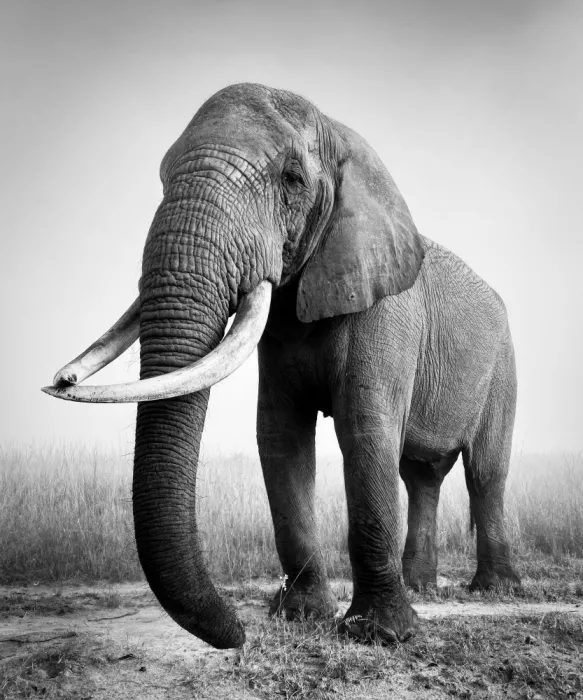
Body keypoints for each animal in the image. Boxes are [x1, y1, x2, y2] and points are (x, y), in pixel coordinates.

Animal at [43, 83, 521, 650]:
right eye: (161, 177)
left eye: (292, 179)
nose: (238, 633)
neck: (341, 135)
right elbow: (281, 437)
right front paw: (303, 617)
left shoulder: (385, 310)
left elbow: (365, 431)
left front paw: (381, 635)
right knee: (421, 475)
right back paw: (422, 586)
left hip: (504, 365)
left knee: (485, 471)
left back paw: (495, 591)